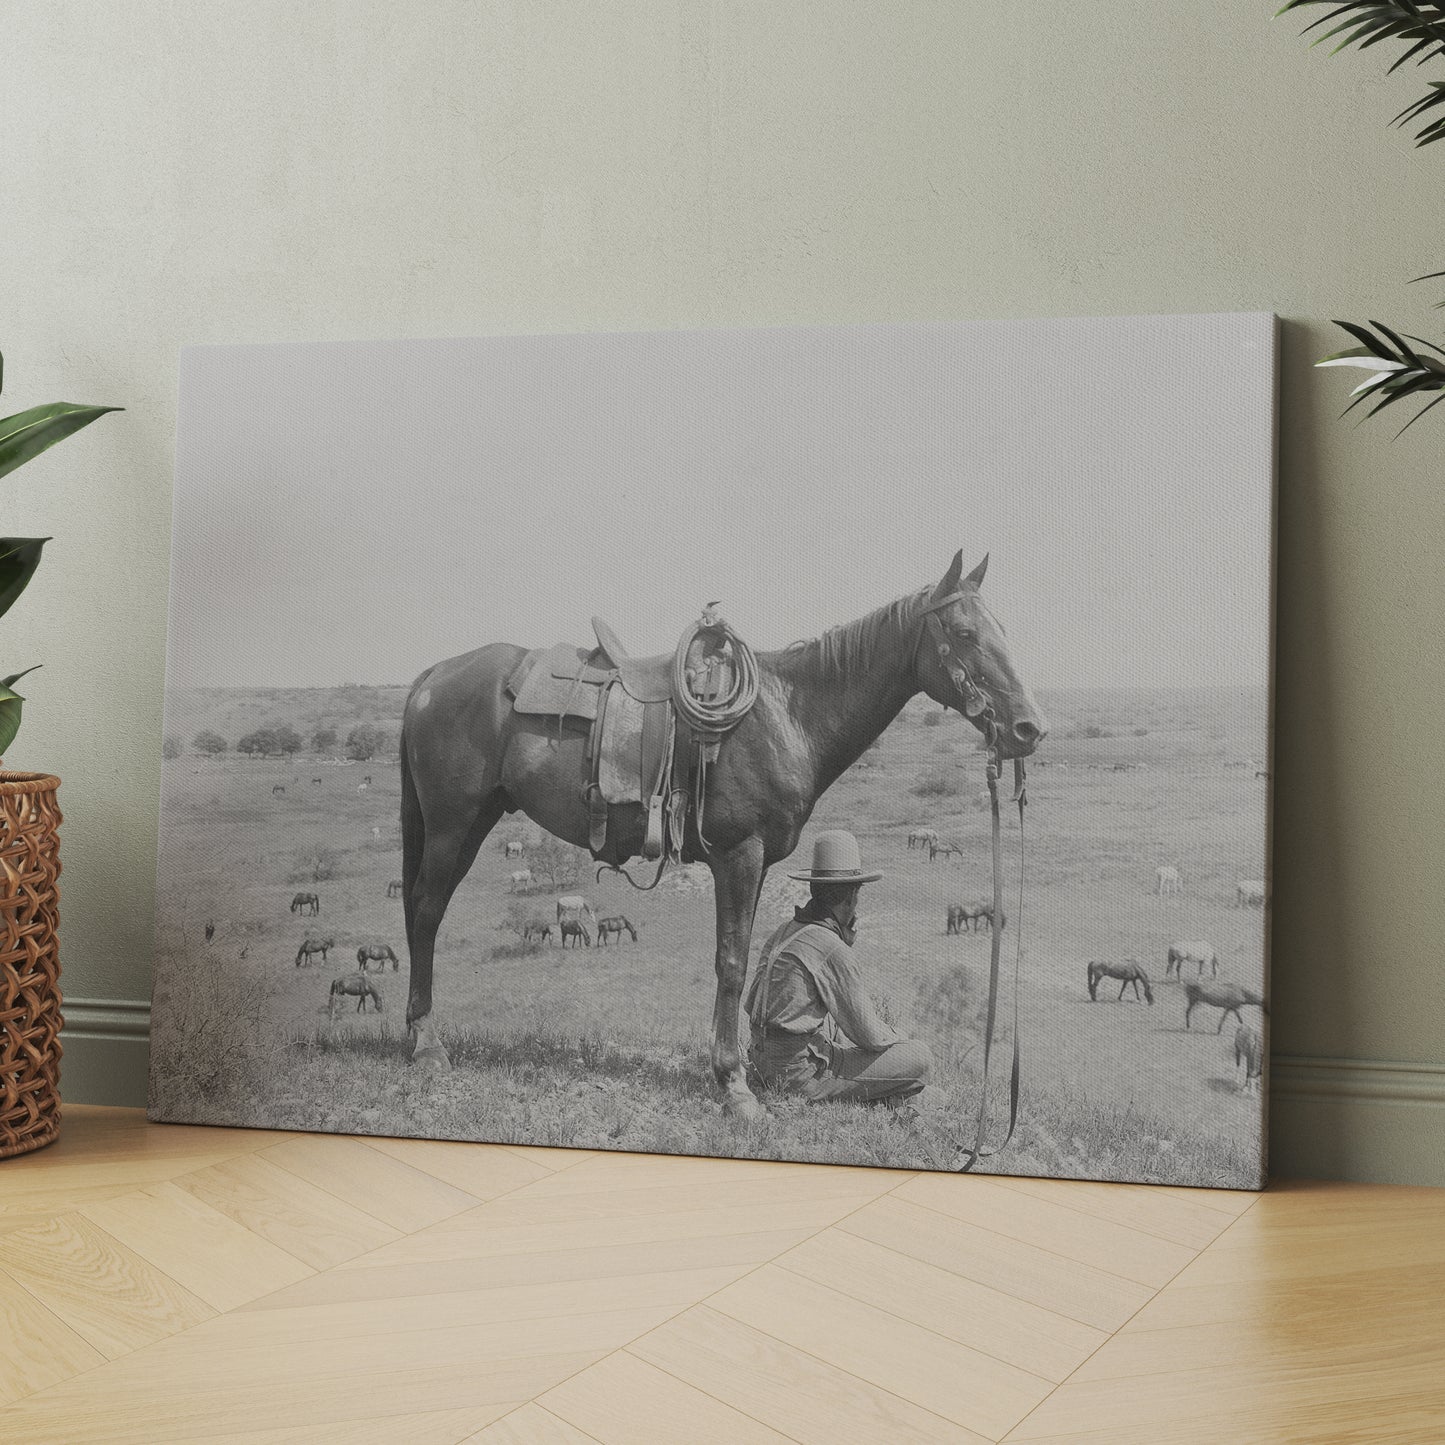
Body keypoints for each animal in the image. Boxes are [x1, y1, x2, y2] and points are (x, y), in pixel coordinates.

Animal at [401, 549, 1046, 1115]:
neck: (789, 714)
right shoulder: (738, 855)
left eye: (1001, 629)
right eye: (964, 633)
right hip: (452, 825)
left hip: (471, 823)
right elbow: (732, 962)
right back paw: (426, 1045)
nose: (1028, 728)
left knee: (419, 910)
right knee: (427, 912)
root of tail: (432, 675)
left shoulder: (756, 862)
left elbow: (743, 955)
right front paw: (734, 1086)